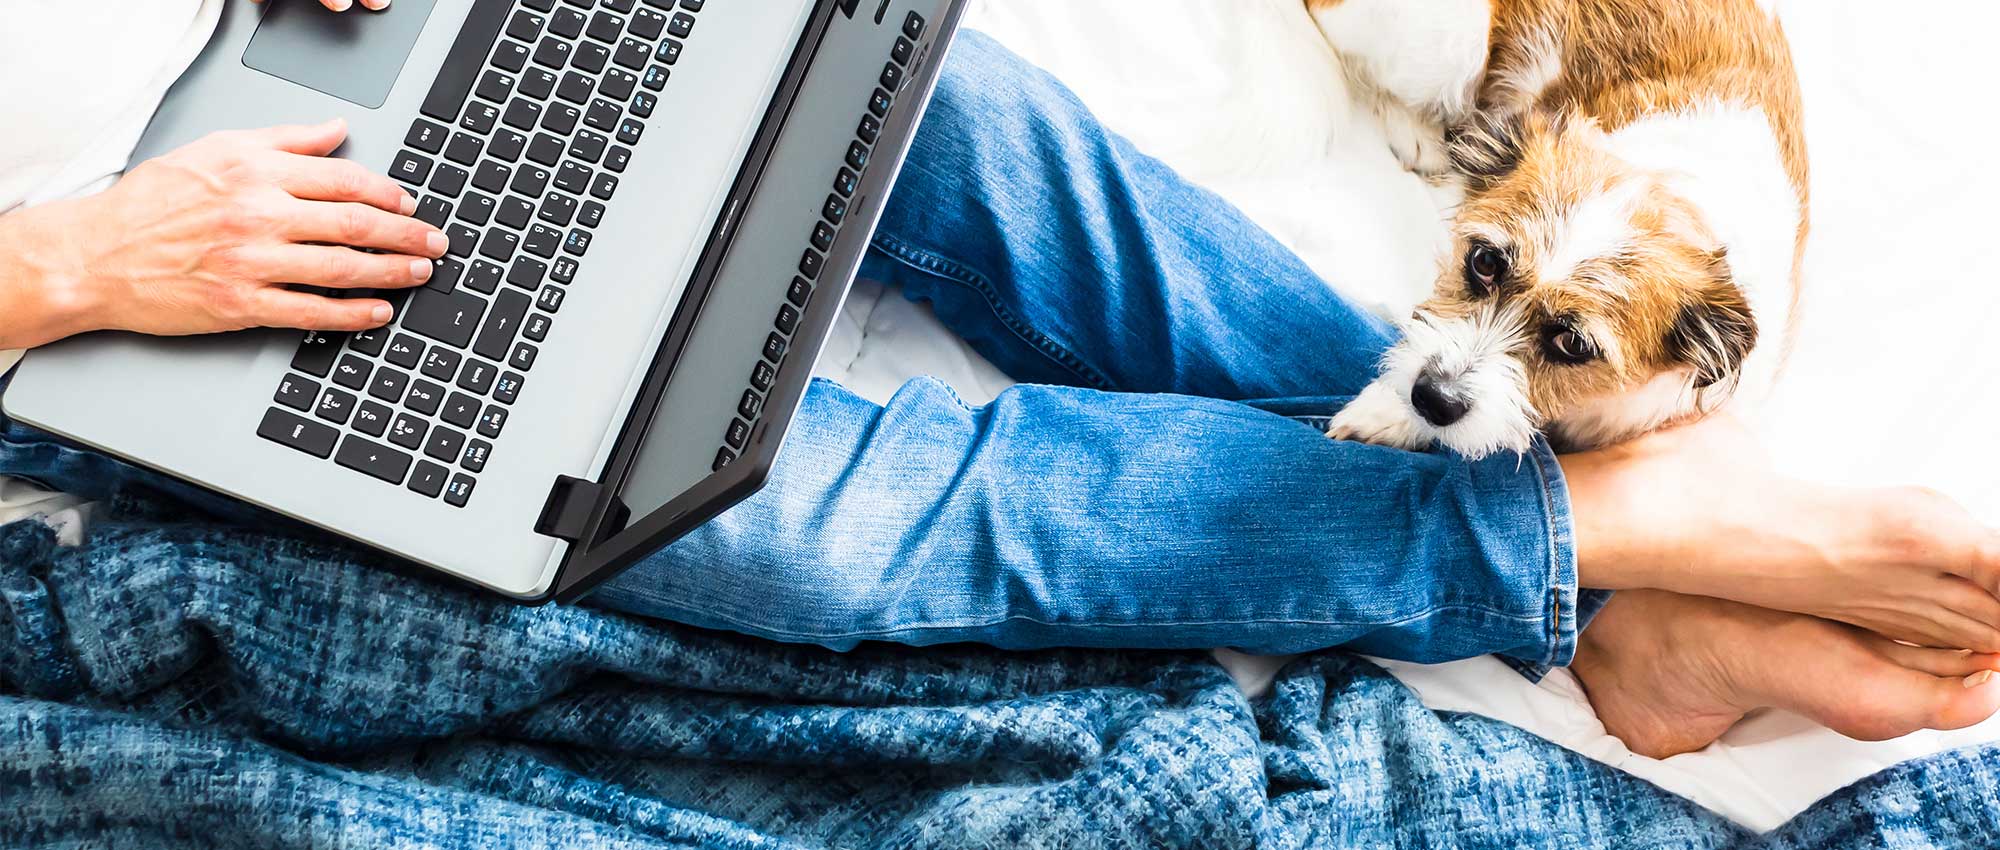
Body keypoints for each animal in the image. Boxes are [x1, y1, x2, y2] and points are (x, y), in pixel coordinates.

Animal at [1320, 0, 1808, 458]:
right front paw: (1391, 410)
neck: (1676, 189)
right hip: (1449, 41)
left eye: (1572, 343)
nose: (1433, 398)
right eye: (1484, 261)